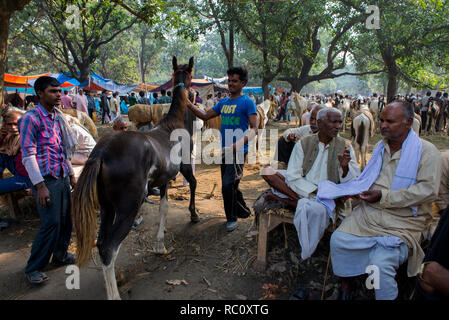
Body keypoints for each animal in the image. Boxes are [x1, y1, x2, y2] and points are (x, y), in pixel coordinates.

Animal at [72, 55, 198, 300]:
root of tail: (103, 152)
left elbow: (164, 207)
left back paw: (118, 276)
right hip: (128, 208)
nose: (195, 94)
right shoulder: (185, 166)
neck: (174, 123)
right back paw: (114, 294)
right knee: (109, 247)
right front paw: (194, 214)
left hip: (108, 207)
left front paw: (160, 244)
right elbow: (193, 184)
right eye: (190, 76)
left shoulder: (163, 179)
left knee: (102, 243)